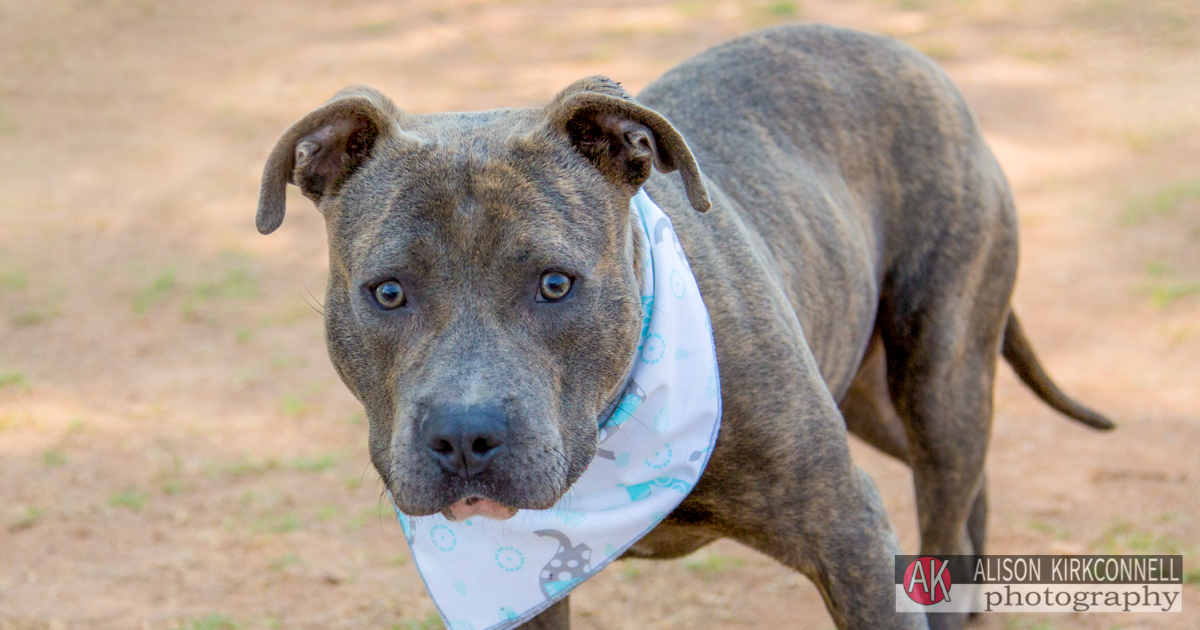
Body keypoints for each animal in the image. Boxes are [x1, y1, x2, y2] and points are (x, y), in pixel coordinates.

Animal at [255, 23, 1113, 628]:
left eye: (556, 284)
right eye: (388, 292)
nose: (466, 435)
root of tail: (908, 53)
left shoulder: (848, 534)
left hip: (939, 373)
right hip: (869, 389)